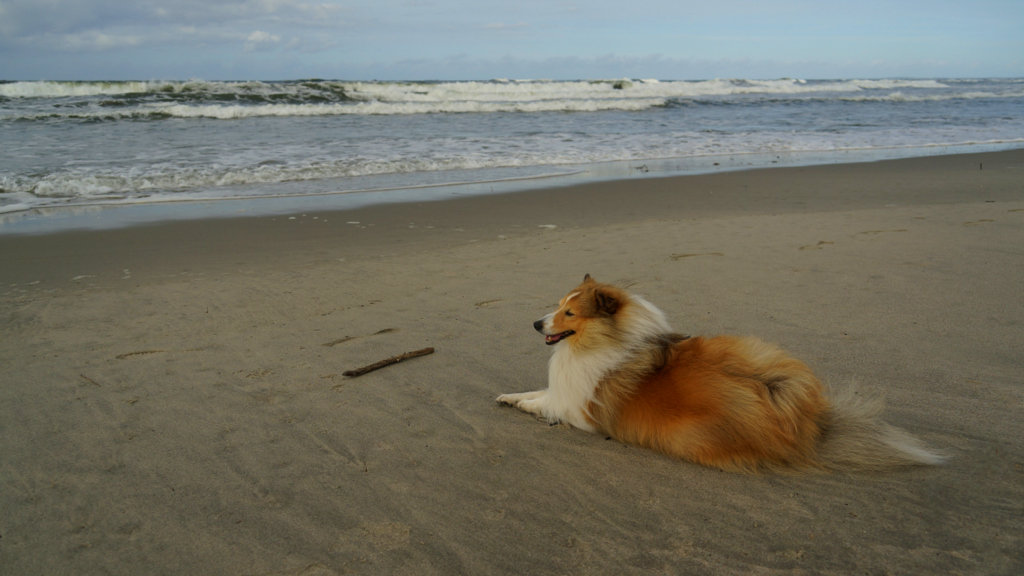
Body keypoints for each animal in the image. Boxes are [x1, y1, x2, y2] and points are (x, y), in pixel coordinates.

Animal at [495, 274, 942, 471]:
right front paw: (507, 395)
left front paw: (517, 403)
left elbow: (540, 403)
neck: (599, 341)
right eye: (558, 306)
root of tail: (806, 422)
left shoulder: (577, 408)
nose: (535, 324)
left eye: (570, 313)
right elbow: (535, 391)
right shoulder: (563, 392)